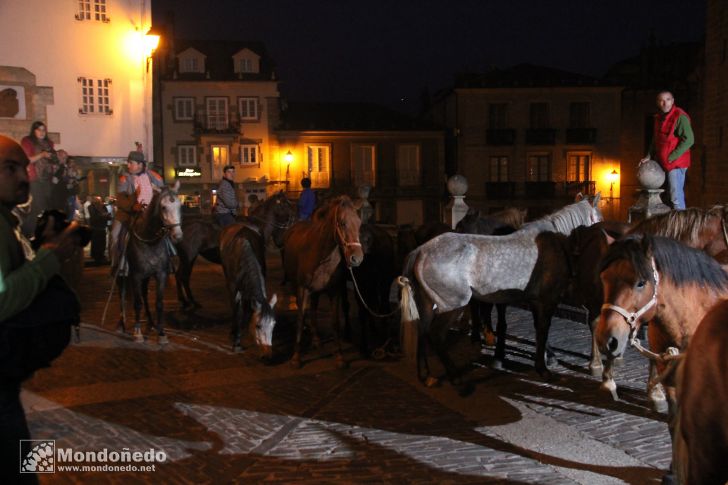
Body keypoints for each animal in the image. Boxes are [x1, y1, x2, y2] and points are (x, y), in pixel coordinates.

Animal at [118, 182, 183, 344]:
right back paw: (121, 324)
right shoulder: (135, 275)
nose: (178, 236)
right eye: (163, 207)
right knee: (122, 294)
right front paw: (137, 333)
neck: (149, 241)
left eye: (180, 206)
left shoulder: (161, 274)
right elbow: (137, 303)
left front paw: (162, 333)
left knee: (145, 295)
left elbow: (159, 303)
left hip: (147, 277)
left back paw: (151, 322)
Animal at [219, 221, 278, 358]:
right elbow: (237, 311)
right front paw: (236, 342)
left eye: (273, 325)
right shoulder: (234, 289)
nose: (268, 354)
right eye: (258, 326)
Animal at [282, 194, 364, 366]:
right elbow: (300, 318)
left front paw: (339, 356)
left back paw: (316, 339)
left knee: (313, 308)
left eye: (359, 223)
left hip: (316, 291)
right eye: (342, 223)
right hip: (298, 286)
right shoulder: (303, 289)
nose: (357, 258)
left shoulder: (334, 291)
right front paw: (296, 357)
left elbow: (335, 322)